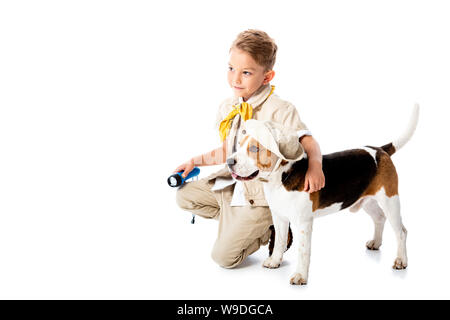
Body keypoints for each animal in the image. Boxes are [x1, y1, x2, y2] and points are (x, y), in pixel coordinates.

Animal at [227, 105, 420, 284]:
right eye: (240, 145)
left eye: (254, 148)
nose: (229, 161)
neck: (281, 177)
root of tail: (379, 150)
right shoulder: (279, 217)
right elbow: (279, 242)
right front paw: (275, 261)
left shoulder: (304, 222)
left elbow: (303, 252)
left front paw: (300, 276)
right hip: (367, 200)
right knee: (379, 218)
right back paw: (376, 243)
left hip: (390, 201)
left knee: (402, 232)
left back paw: (401, 260)